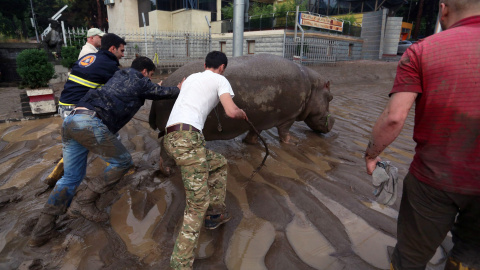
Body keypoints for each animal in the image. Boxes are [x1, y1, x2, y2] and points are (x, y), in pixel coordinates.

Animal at [149, 53, 334, 144]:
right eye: (331, 97)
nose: (333, 121)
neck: (313, 86)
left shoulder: (259, 119)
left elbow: (254, 132)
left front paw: (251, 143)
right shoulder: (289, 117)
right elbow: (285, 132)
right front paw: (294, 142)